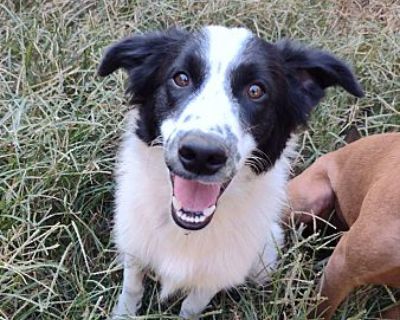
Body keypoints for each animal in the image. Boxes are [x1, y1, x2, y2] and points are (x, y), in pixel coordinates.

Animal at [98, 25, 364, 318]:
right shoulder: (135, 247)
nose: (202, 155)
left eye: (256, 90)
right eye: (181, 78)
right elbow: (132, 288)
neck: (187, 230)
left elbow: (191, 307)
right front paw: (123, 313)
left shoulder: (215, 275)